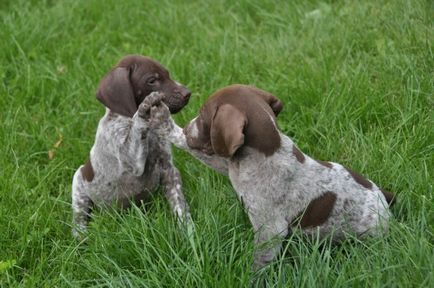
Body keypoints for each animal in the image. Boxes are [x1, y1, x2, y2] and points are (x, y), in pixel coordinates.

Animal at [71, 54, 192, 238]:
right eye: (152, 81)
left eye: (167, 74)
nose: (187, 94)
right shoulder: (131, 158)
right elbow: (137, 124)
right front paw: (144, 108)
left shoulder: (169, 170)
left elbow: (179, 203)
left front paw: (189, 232)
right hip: (78, 183)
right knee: (79, 215)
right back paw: (80, 235)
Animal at [167, 84, 396, 268]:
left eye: (203, 115)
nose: (187, 127)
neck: (269, 149)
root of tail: (382, 196)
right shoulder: (229, 165)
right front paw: (167, 126)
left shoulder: (270, 230)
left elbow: (259, 264)